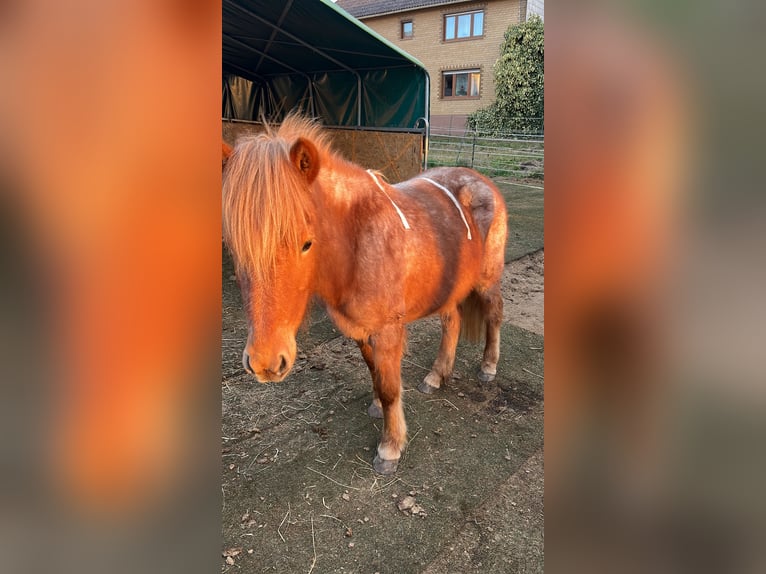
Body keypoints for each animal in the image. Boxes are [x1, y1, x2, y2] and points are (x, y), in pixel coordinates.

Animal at [222, 115, 507, 475]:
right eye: (233, 246)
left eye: (306, 243)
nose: (265, 363)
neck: (359, 242)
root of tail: (481, 180)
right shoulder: (359, 329)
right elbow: (374, 371)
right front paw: (376, 407)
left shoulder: (387, 331)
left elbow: (389, 387)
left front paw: (390, 447)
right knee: (452, 323)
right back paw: (436, 376)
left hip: (487, 281)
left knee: (494, 315)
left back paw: (488, 367)